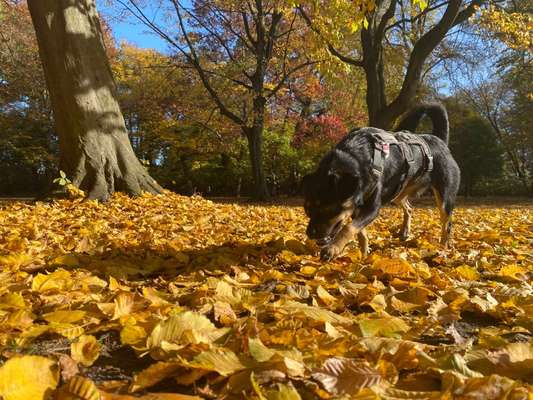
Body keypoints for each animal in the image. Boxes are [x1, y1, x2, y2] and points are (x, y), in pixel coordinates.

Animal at [304, 104, 462, 260]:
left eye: (330, 209)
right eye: (307, 210)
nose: (310, 234)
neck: (355, 157)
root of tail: (440, 141)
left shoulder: (371, 209)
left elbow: (348, 227)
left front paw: (333, 248)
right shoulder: (357, 208)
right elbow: (360, 233)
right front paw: (364, 256)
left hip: (444, 199)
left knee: (447, 225)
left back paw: (442, 251)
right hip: (398, 193)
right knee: (409, 208)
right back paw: (405, 231)